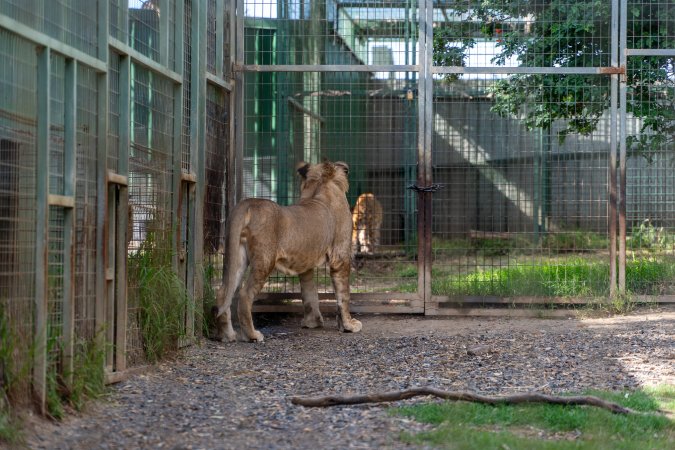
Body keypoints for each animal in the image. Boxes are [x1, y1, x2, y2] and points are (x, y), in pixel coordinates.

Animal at [212, 160, 362, 342]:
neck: (320, 186)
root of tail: (249, 202)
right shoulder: (340, 256)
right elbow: (344, 294)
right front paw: (349, 325)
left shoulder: (306, 264)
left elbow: (309, 294)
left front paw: (313, 323)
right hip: (265, 260)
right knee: (245, 294)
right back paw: (252, 335)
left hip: (237, 256)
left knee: (223, 292)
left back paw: (227, 335)